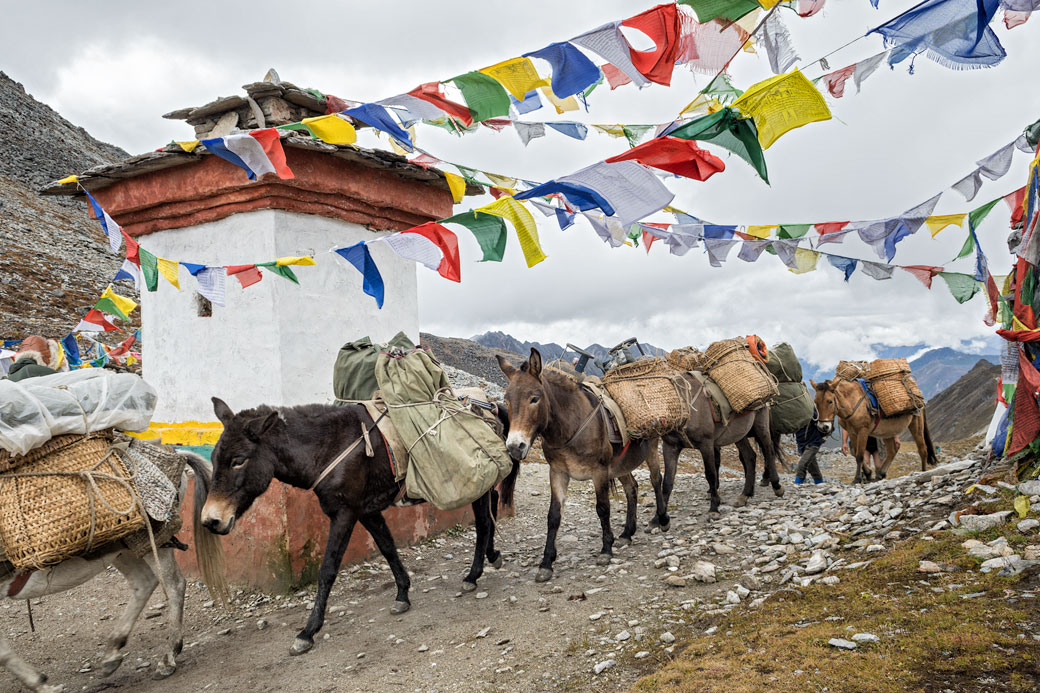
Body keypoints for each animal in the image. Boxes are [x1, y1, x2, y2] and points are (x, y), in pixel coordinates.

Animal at [497, 347, 665, 578]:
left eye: (534, 398)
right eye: (506, 400)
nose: (515, 446)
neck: (570, 426)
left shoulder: (599, 472)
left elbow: (603, 508)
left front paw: (606, 550)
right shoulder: (558, 472)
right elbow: (553, 516)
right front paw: (546, 562)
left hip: (651, 448)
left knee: (656, 479)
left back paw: (661, 520)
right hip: (621, 463)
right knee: (632, 488)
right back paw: (627, 533)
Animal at [807, 378, 940, 480]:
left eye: (830, 401)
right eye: (815, 402)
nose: (823, 427)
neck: (852, 403)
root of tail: (919, 397)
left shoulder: (863, 431)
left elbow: (860, 455)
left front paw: (857, 478)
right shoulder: (852, 433)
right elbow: (855, 453)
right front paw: (868, 473)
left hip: (916, 424)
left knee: (922, 449)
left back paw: (923, 472)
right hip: (887, 432)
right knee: (892, 450)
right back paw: (881, 473)